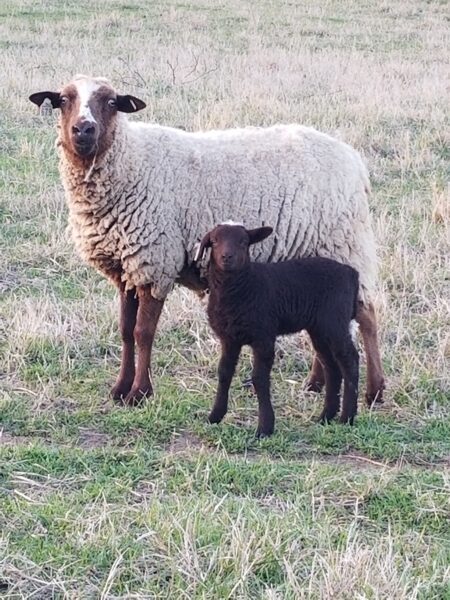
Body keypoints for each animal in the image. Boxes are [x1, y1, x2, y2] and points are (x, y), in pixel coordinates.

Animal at [29, 74, 384, 404]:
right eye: (63, 100)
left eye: (112, 102)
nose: (83, 130)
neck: (131, 160)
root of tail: (354, 160)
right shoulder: (126, 268)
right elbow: (126, 331)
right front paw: (120, 389)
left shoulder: (155, 260)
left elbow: (144, 333)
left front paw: (140, 392)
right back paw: (316, 383)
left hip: (344, 244)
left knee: (367, 315)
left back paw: (374, 390)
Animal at [199, 220, 360, 436]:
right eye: (214, 241)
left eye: (244, 242)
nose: (227, 257)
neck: (243, 287)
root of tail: (351, 273)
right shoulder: (229, 338)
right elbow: (224, 372)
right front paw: (215, 416)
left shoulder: (264, 337)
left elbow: (259, 378)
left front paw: (265, 428)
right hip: (319, 328)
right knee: (331, 366)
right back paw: (326, 417)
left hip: (335, 321)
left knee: (350, 360)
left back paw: (347, 418)